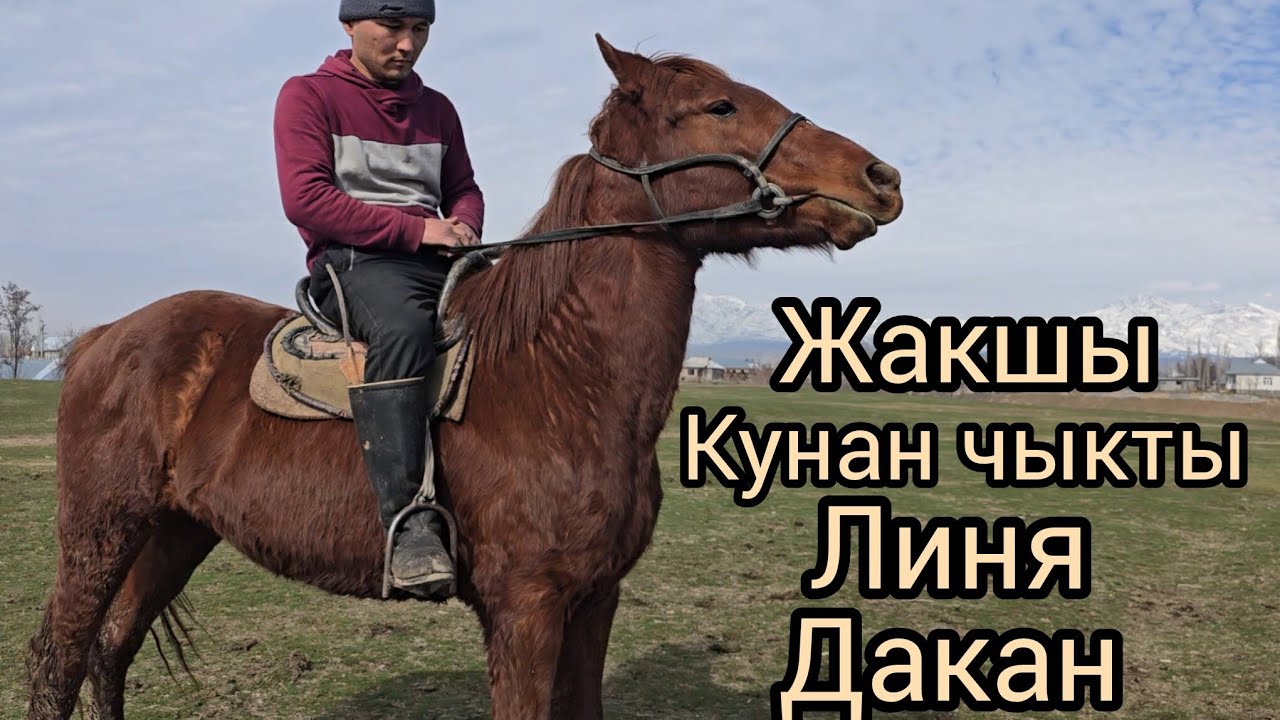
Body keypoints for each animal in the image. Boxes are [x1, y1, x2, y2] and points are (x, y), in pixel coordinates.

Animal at [26, 34, 903, 720]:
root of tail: (103, 338)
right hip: (100, 531)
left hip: (173, 532)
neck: (563, 379)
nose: (880, 178)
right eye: (720, 106)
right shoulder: (526, 610)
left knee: (110, 649)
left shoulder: (595, 601)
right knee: (60, 659)